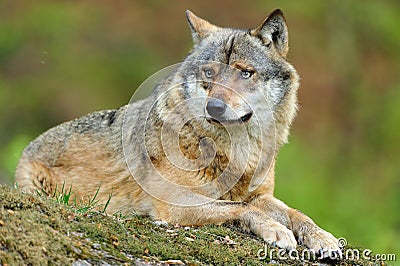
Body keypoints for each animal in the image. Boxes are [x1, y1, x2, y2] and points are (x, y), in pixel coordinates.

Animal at [15, 9, 340, 256]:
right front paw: (276, 230)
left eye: (245, 73)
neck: (233, 150)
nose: (215, 107)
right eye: (209, 73)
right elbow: (238, 207)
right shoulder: (176, 202)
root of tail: (30, 146)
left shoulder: (260, 195)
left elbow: (295, 212)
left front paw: (322, 237)